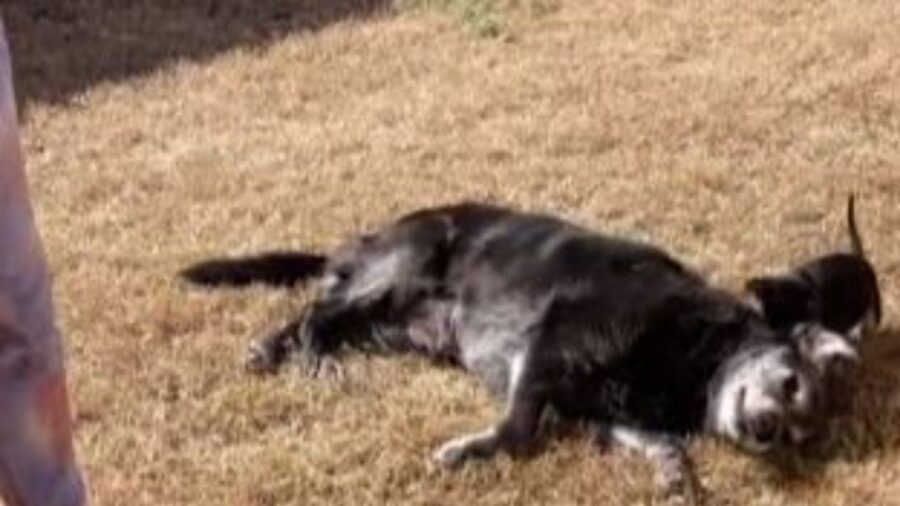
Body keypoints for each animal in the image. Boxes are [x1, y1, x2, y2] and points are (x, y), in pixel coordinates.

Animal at [183, 203, 856, 502]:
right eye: (791, 384)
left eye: (799, 433)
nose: (767, 430)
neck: (695, 359)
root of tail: (365, 238)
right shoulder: (551, 344)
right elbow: (518, 428)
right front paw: (470, 451)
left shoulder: (601, 411)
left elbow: (660, 444)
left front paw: (674, 474)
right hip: (409, 262)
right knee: (321, 316)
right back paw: (314, 359)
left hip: (395, 324)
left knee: (312, 314)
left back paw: (269, 348)